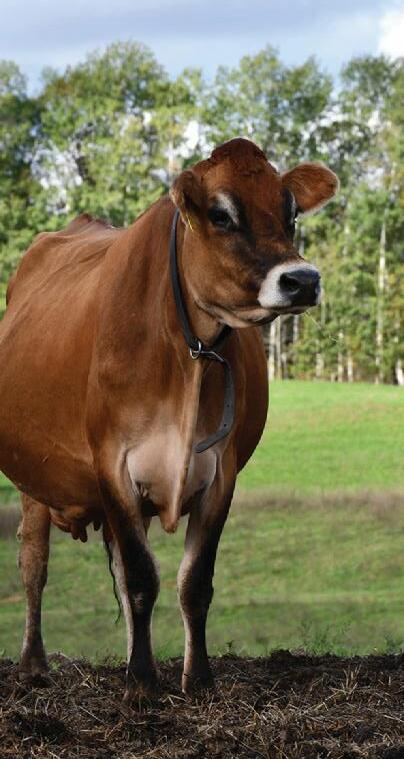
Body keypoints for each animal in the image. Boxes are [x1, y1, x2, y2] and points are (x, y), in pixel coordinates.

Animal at [0, 138, 338, 699]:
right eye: (221, 215)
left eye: (290, 212)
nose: (302, 280)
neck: (188, 352)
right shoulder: (112, 463)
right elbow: (141, 578)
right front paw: (140, 683)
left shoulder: (221, 472)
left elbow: (191, 582)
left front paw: (193, 677)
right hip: (34, 479)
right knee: (34, 565)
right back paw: (32, 664)